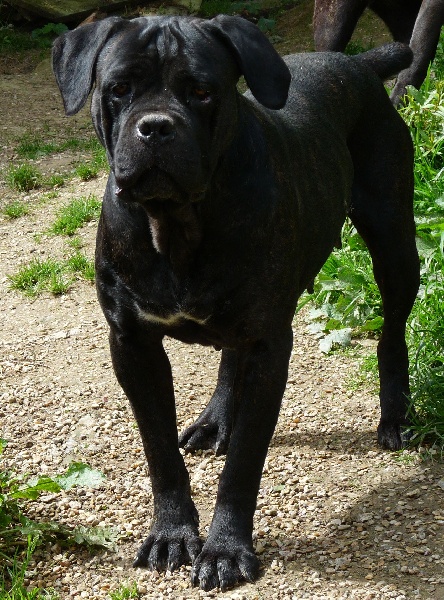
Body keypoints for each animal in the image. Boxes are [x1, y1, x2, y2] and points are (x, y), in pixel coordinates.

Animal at [52, 15, 420, 591]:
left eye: (202, 91)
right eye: (119, 88)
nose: (156, 127)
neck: (176, 224)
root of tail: (355, 63)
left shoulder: (269, 345)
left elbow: (245, 460)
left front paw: (225, 549)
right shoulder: (132, 343)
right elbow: (159, 449)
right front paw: (172, 534)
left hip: (394, 241)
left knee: (393, 327)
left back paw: (396, 414)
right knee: (229, 355)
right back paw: (214, 421)